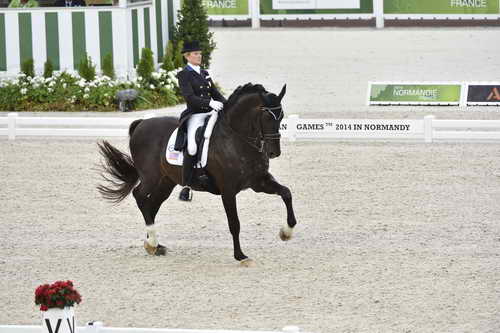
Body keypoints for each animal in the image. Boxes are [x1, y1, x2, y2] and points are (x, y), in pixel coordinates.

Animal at [97, 83, 296, 264]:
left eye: (281, 117)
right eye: (267, 117)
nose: (274, 152)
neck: (236, 138)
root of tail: (141, 123)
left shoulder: (258, 182)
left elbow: (286, 193)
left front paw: (286, 232)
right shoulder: (228, 191)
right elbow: (234, 223)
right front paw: (240, 256)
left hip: (165, 182)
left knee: (151, 204)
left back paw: (154, 245)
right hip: (150, 177)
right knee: (139, 196)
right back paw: (152, 242)